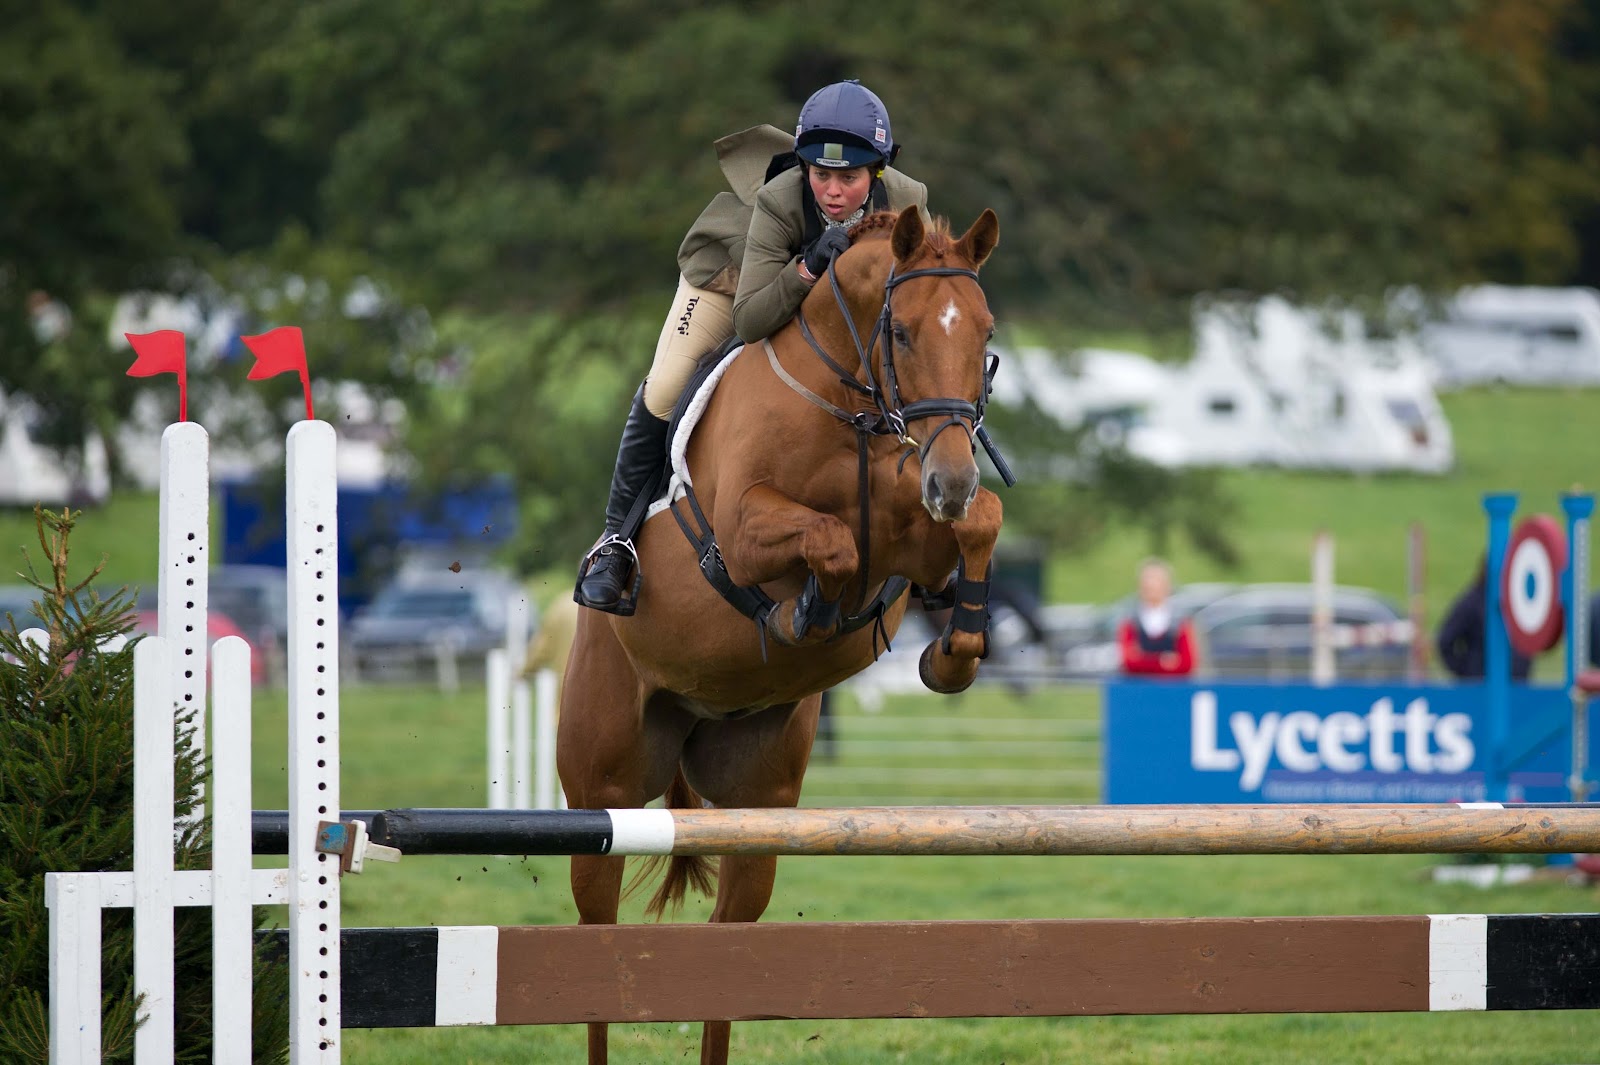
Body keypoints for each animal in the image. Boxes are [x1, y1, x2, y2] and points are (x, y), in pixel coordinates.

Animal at [557, 205, 1003, 1065]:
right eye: (902, 332)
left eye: (986, 334)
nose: (951, 479)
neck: (847, 405)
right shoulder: (742, 530)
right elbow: (830, 541)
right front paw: (805, 614)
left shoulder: (917, 536)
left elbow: (976, 526)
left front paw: (952, 653)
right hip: (602, 792)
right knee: (596, 936)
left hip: (757, 807)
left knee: (731, 940)